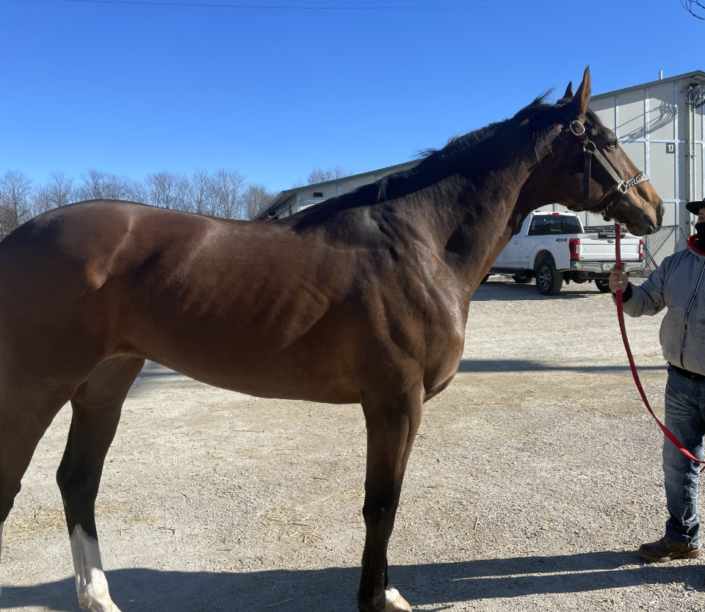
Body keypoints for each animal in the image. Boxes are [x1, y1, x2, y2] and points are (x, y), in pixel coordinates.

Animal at [0, 68, 662, 612]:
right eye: (604, 139)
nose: (653, 208)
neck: (421, 242)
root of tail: (19, 238)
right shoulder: (396, 402)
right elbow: (382, 504)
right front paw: (377, 598)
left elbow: (386, 503)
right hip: (35, 389)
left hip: (105, 384)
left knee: (78, 481)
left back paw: (98, 598)